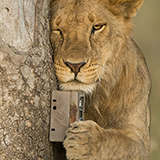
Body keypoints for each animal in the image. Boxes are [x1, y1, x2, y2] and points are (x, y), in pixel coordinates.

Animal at [50, 0, 151, 159]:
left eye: (97, 27)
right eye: (57, 29)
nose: (75, 65)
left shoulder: (139, 137)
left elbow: (118, 143)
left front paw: (86, 141)